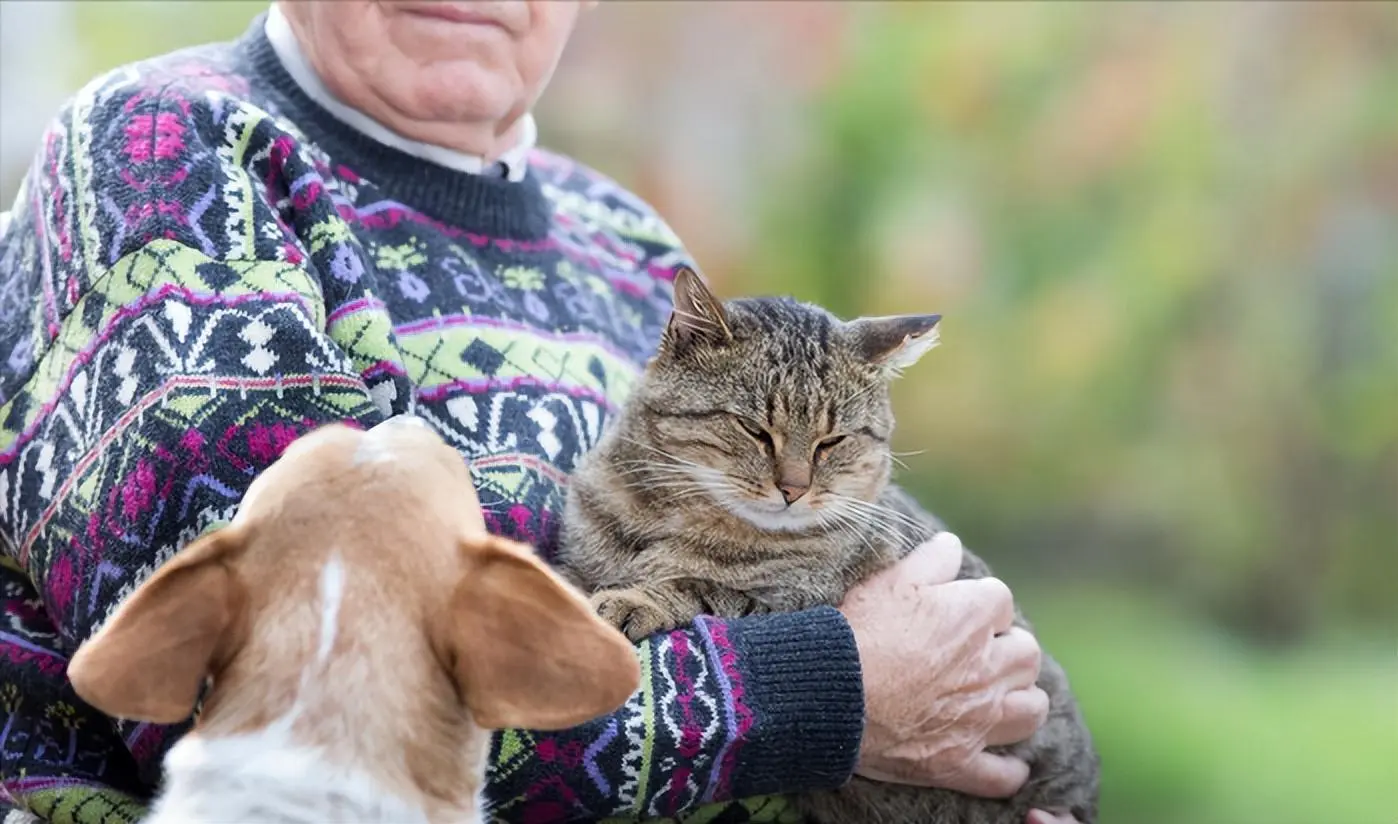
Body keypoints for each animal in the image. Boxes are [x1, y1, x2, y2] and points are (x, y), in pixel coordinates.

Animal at [553, 268, 1090, 822]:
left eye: (832, 441)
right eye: (754, 429)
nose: (793, 488)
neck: (674, 515)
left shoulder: (793, 601)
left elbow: (698, 587)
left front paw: (637, 598)